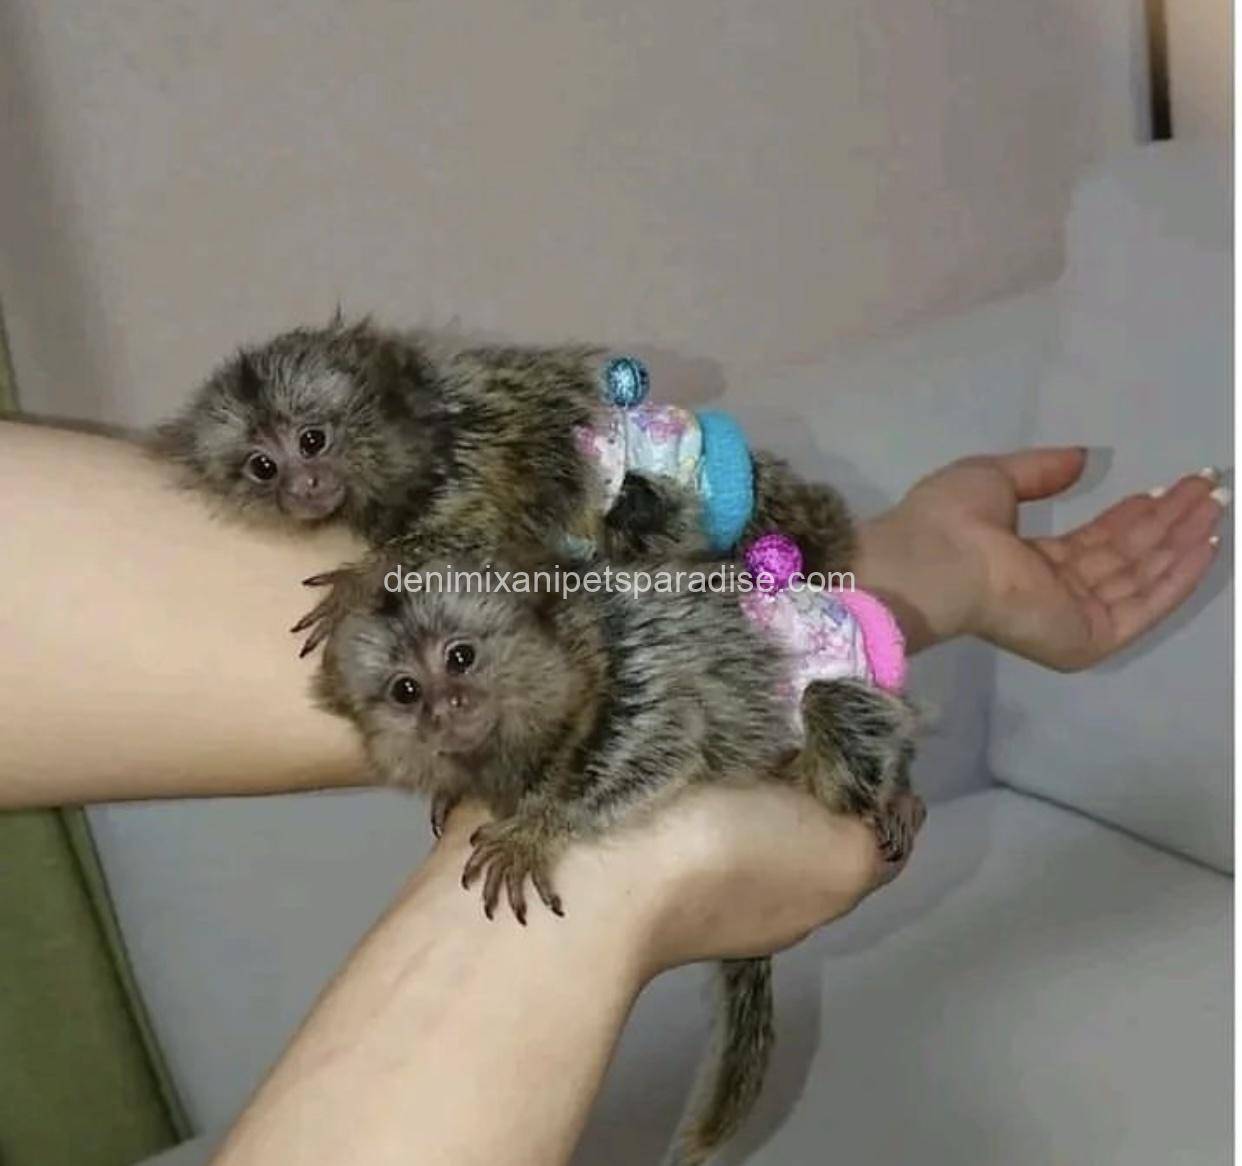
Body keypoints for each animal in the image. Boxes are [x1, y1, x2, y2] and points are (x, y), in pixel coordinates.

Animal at [152, 316, 856, 651]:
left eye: (312, 441)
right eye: (262, 467)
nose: (306, 485)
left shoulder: (483, 459)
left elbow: (483, 541)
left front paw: (364, 579)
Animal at [314, 552, 923, 1166]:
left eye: (460, 656)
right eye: (406, 690)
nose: (445, 709)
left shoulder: (637, 674)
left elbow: (664, 743)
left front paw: (535, 829)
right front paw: (456, 794)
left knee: (829, 703)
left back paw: (885, 796)